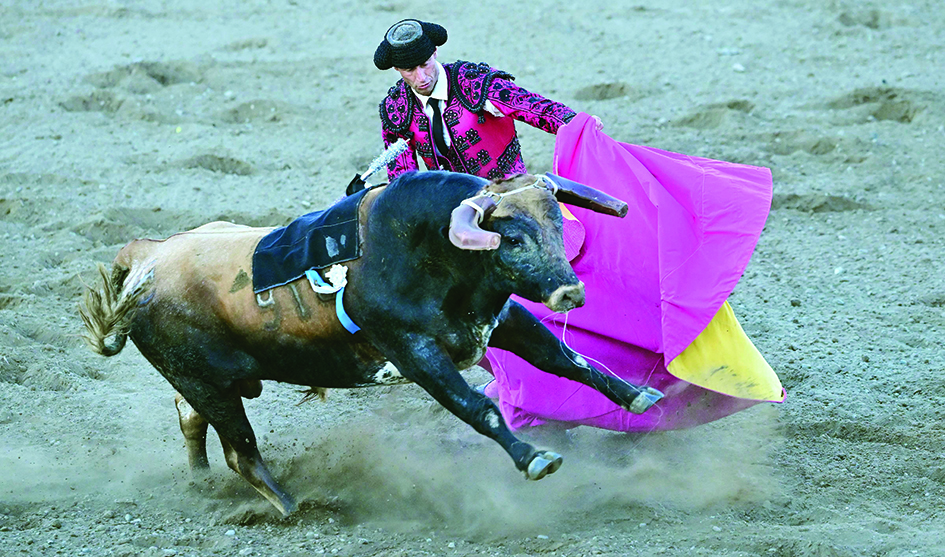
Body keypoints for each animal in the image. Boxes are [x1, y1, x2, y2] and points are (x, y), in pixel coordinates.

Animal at [77, 172, 660, 516]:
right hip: (209, 383)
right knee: (239, 450)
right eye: (512, 238)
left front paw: (638, 397)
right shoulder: (415, 352)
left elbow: (566, 359)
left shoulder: (501, 318)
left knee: (189, 419)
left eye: (559, 224)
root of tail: (145, 258)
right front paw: (535, 459)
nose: (570, 291)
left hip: (206, 382)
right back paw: (291, 505)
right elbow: (477, 407)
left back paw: (200, 483)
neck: (425, 247)